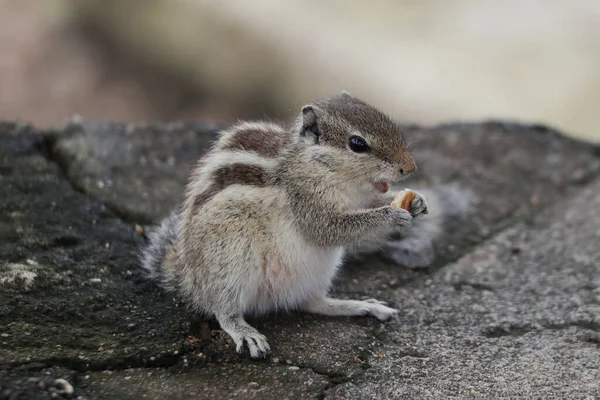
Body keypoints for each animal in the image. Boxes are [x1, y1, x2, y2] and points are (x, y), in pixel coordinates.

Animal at [139, 92, 440, 358]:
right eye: (357, 143)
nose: (409, 167)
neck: (320, 167)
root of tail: (190, 278)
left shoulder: (361, 197)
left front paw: (416, 202)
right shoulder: (307, 202)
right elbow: (330, 228)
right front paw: (390, 215)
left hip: (318, 271)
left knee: (311, 303)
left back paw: (360, 306)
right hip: (229, 260)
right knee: (222, 309)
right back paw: (244, 331)